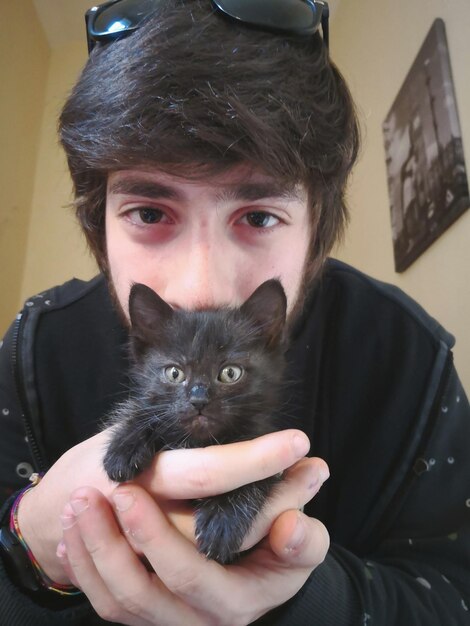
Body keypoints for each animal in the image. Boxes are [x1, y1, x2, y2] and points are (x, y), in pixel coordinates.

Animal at [103, 278, 286, 560]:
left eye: (230, 373)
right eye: (174, 373)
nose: (198, 400)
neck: (200, 442)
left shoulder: (265, 443)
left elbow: (258, 477)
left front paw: (223, 519)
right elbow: (143, 409)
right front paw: (125, 446)